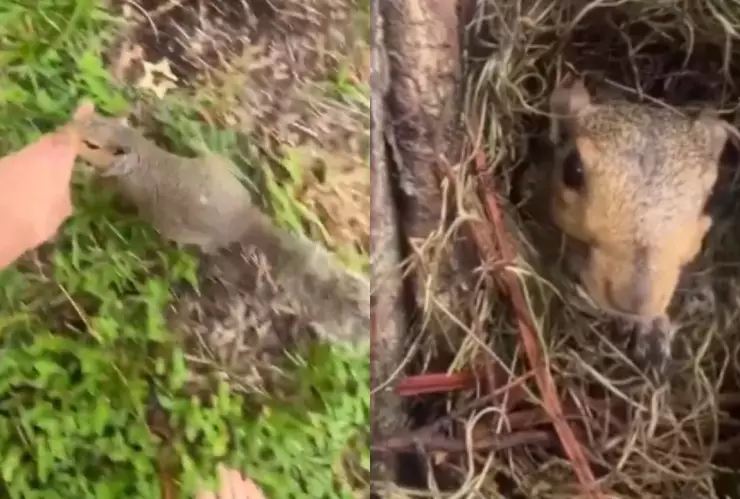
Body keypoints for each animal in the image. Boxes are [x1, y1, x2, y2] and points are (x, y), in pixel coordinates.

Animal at [70, 101, 369, 347]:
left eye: (93, 145)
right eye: (98, 117)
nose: (71, 126)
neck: (139, 155)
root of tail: (244, 218)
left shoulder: (119, 184)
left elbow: (101, 188)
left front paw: (81, 175)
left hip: (189, 233)